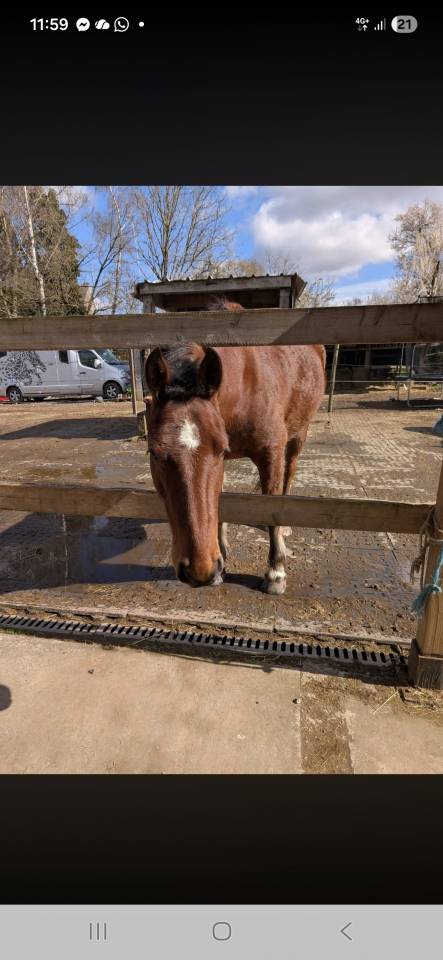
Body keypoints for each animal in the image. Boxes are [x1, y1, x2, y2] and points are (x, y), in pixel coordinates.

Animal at [145, 299, 326, 594]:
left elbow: (272, 505)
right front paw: (221, 565)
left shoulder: (271, 452)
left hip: (299, 435)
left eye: (219, 449)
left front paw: (276, 572)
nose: (200, 571)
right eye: (155, 453)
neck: (246, 385)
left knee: (289, 476)